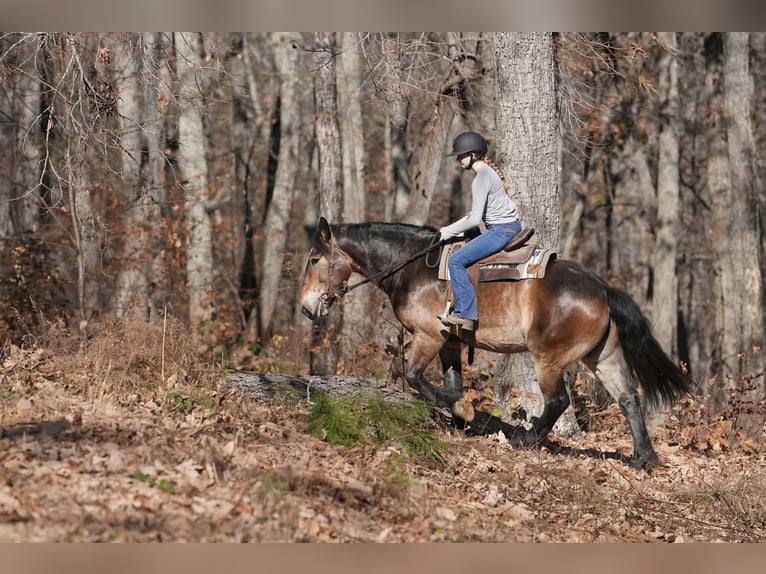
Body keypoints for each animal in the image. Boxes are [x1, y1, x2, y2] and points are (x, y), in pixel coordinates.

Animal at [299, 217, 691, 469]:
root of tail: (603, 290)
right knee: (629, 399)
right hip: (603, 357)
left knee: (557, 401)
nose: (306, 307)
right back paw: (644, 458)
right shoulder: (450, 342)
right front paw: (458, 412)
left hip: (548, 358)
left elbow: (414, 377)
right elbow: (450, 384)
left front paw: (464, 411)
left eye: (315, 259)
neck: (413, 268)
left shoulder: (428, 336)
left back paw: (525, 440)